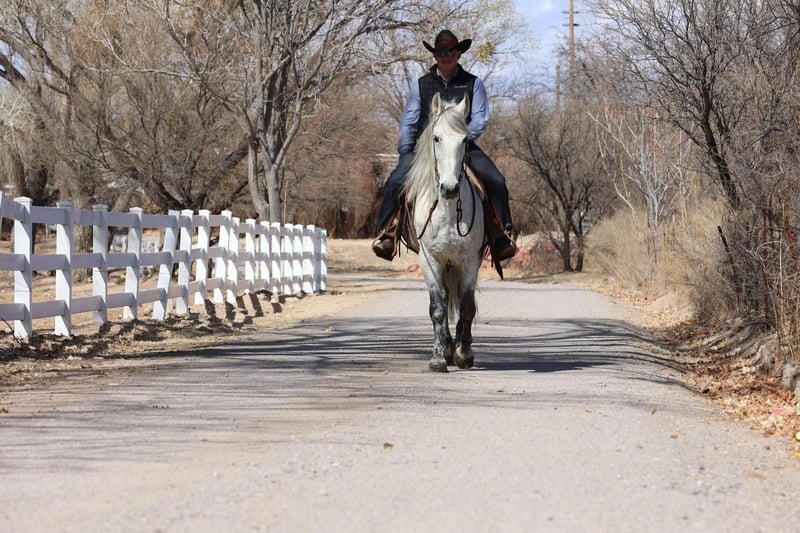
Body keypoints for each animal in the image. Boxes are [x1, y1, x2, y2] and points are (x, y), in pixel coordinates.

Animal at [402, 93, 486, 373]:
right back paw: (448, 347)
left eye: (465, 140)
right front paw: (438, 357)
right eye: (436, 138)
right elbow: (438, 308)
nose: (449, 188)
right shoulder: (429, 260)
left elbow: (467, 307)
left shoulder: (470, 261)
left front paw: (464, 353)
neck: (447, 211)